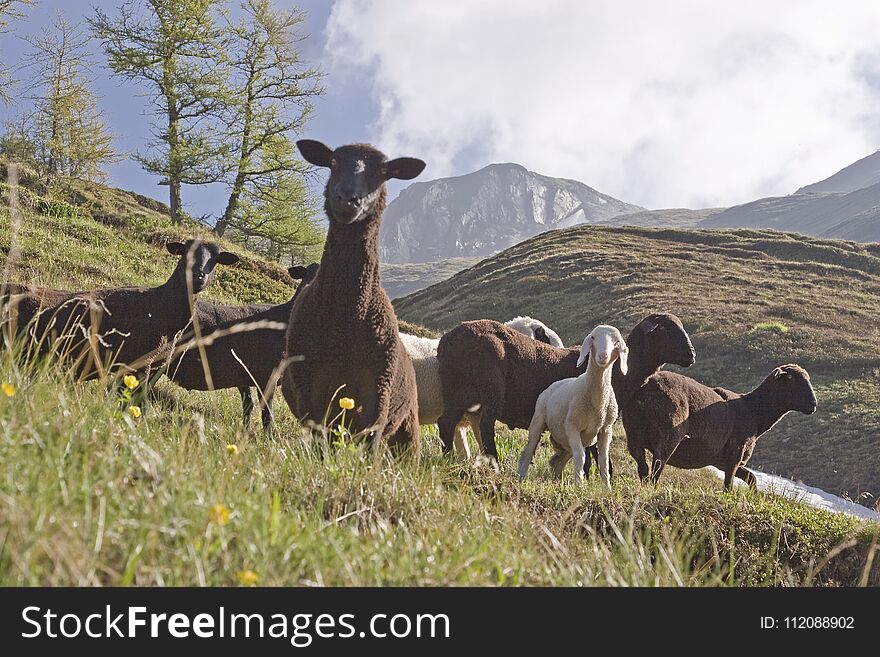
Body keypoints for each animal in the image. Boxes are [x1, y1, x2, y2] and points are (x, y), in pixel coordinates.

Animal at [276, 139, 424, 456]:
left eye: (383, 172)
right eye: (332, 162)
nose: (347, 199)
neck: (345, 321)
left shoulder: (378, 390)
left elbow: (370, 442)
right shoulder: (309, 387)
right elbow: (320, 441)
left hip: (407, 424)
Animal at [520, 322, 628, 486]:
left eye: (616, 341)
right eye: (593, 338)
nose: (603, 356)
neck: (597, 401)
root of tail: (551, 386)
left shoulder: (606, 429)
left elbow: (603, 461)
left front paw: (607, 487)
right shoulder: (572, 426)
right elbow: (581, 457)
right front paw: (580, 485)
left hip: (565, 440)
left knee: (557, 461)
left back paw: (557, 481)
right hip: (538, 421)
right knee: (528, 450)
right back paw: (521, 477)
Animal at [624, 362, 820, 484]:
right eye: (791, 380)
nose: (813, 404)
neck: (755, 412)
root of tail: (646, 388)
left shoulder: (723, 461)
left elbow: (752, 479)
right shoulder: (735, 454)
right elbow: (728, 486)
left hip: (633, 431)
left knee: (643, 467)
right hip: (669, 434)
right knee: (657, 467)